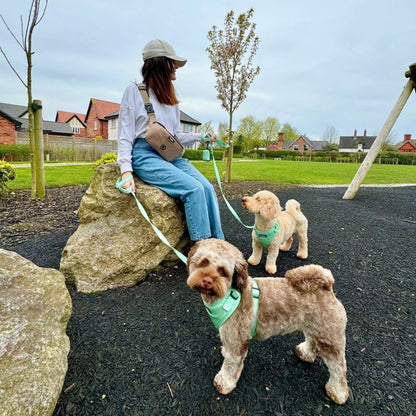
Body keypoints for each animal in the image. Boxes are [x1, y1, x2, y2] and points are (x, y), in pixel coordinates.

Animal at [187, 239, 350, 404]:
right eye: (204, 262)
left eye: (223, 271)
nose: (207, 281)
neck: (229, 296)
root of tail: (327, 287)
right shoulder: (230, 338)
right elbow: (228, 353)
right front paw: (224, 353)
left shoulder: (237, 341)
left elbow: (231, 365)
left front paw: (223, 383)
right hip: (314, 327)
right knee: (312, 341)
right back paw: (306, 353)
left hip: (330, 339)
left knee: (339, 368)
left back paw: (338, 393)